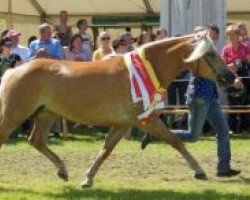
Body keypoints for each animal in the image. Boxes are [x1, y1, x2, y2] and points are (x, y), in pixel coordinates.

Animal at [0, 31, 234, 188]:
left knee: (36, 140)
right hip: (14, 115)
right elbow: (176, 141)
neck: (144, 70)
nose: (231, 77)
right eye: (209, 54)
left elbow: (105, 151)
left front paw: (87, 179)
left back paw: (63, 171)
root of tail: (13, 71)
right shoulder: (147, 120)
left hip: (46, 114)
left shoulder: (123, 124)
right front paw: (199, 171)